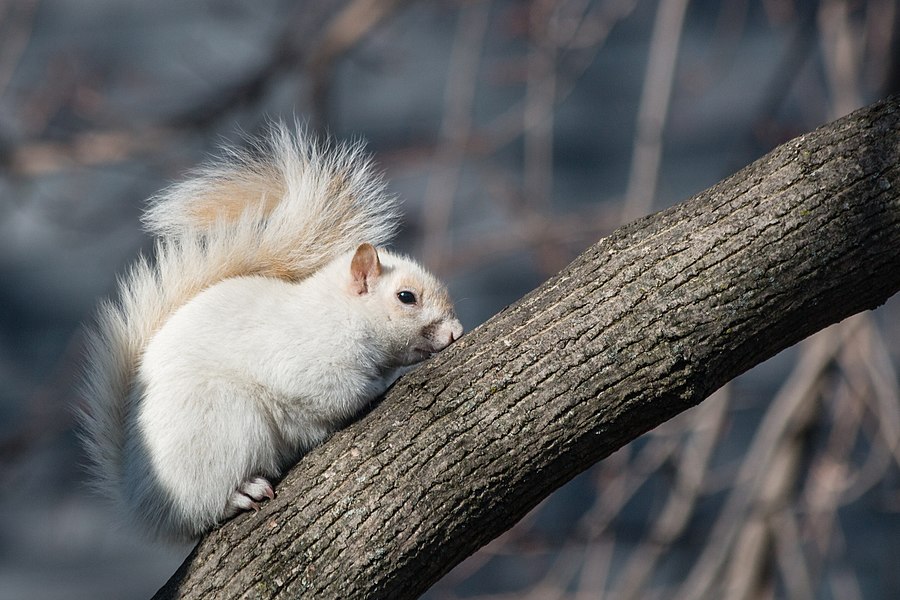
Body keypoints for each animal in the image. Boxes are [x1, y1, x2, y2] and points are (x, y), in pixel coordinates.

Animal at [79, 125, 464, 540]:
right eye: (406, 297)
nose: (455, 331)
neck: (339, 312)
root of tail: (141, 500)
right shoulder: (305, 361)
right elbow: (334, 393)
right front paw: (378, 384)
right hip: (224, 421)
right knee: (203, 506)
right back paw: (241, 493)